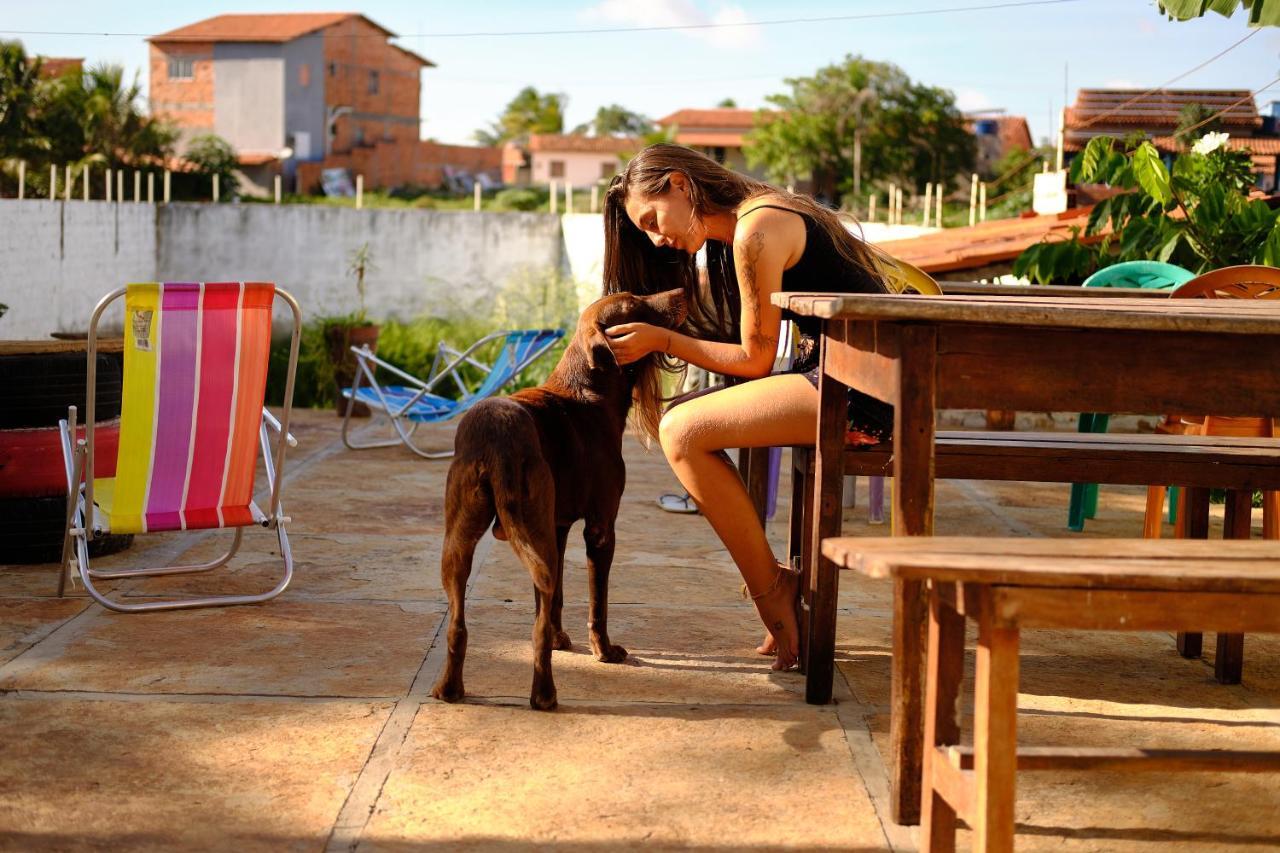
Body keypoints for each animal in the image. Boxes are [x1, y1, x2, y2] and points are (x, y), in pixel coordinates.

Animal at [430, 289, 691, 706]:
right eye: (635, 303)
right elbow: (597, 602)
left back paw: (450, 690)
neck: (591, 393)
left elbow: (555, 599)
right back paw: (544, 696)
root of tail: (496, 435)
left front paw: (560, 637)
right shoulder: (600, 528)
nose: (684, 291)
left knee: (458, 623)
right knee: (533, 630)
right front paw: (604, 651)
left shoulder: (558, 527)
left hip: (462, 540)